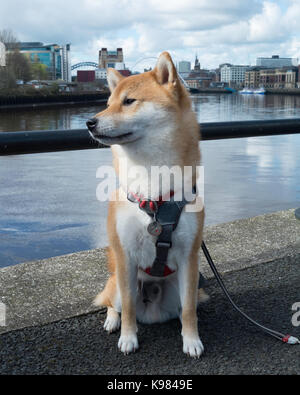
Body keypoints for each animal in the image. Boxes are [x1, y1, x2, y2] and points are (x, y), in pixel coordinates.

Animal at [86, 51, 207, 358]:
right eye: (108, 103)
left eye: (129, 101)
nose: (90, 122)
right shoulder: (126, 257)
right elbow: (128, 308)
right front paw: (128, 338)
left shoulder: (189, 256)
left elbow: (189, 310)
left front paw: (191, 339)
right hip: (117, 283)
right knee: (113, 304)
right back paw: (112, 321)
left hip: (179, 287)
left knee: (184, 306)